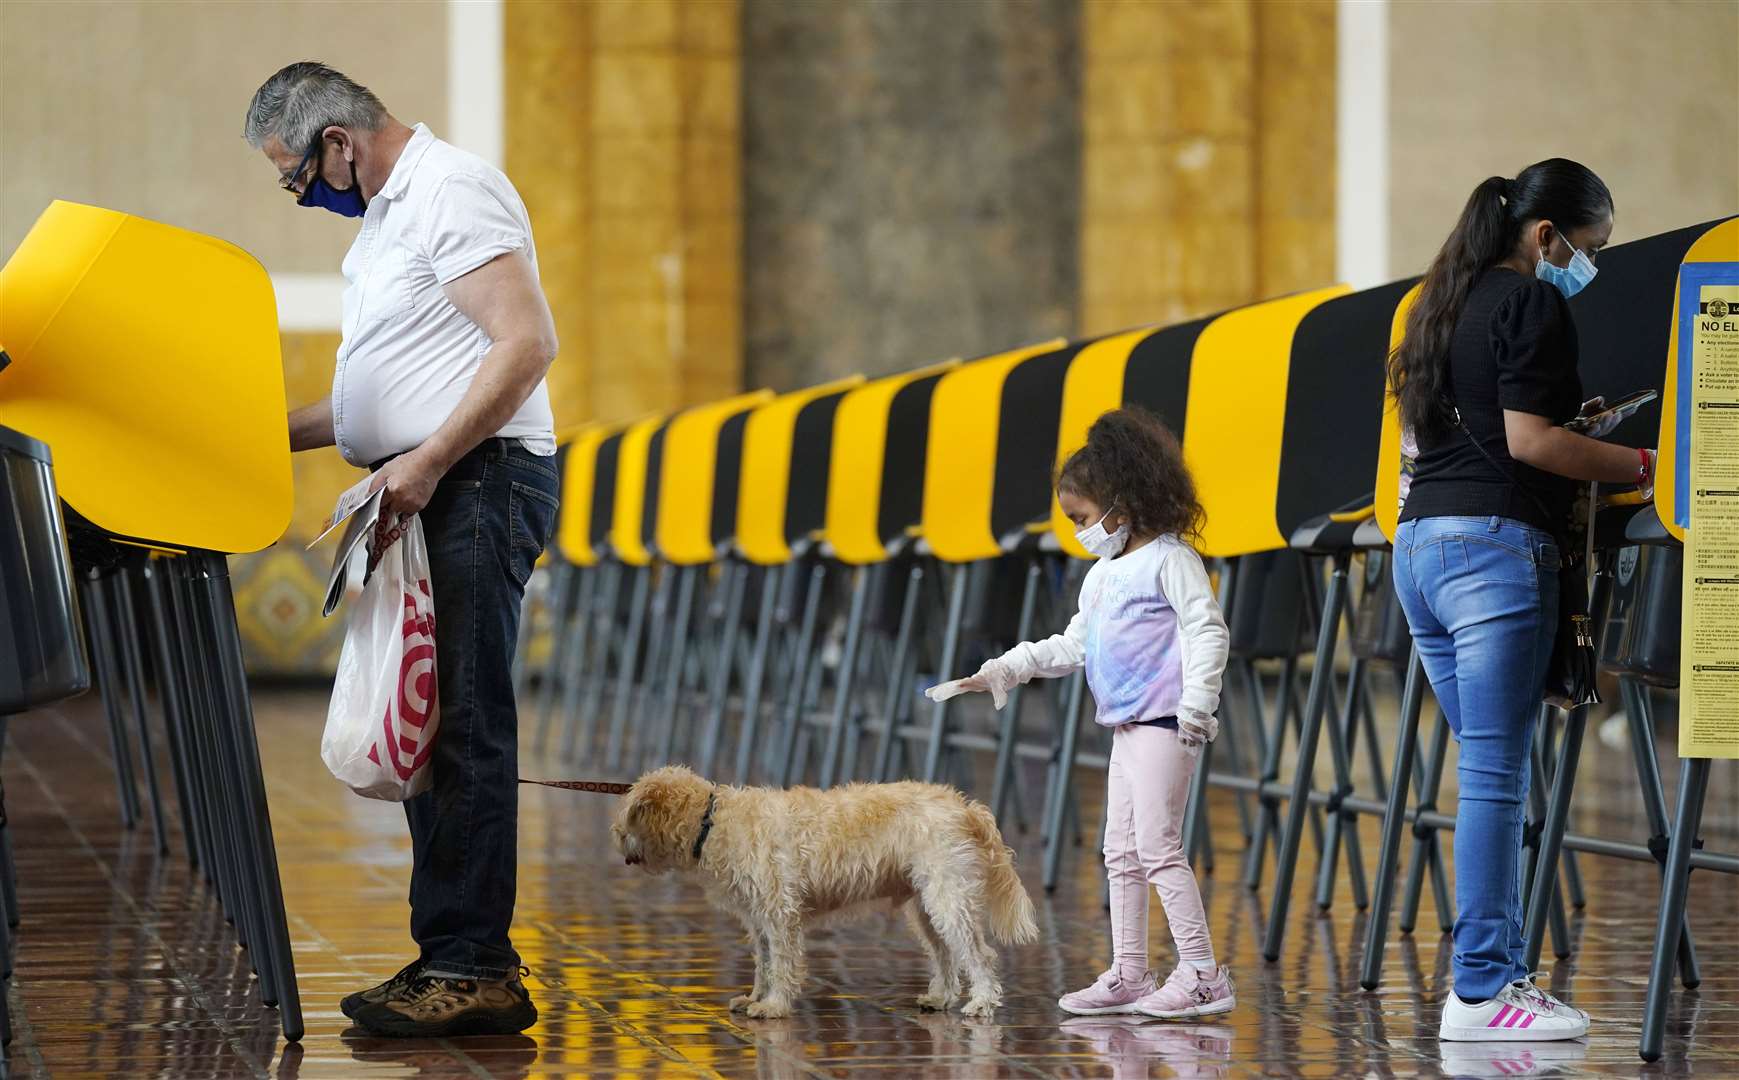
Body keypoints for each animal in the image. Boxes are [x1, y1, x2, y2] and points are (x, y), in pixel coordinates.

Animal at [612, 761, 1029, 1015]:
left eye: (627, 820)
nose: (616, 839)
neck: (710, 822)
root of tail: (964, 806)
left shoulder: (780, 913)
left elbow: (782, 963)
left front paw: (773, 1006)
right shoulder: (759, 920)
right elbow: (764, 963)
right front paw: (755, 997)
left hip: (948, 896)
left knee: (978, 954)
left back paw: (981, 1002)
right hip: (927, 905)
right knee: (944, 952)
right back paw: (941, 997)